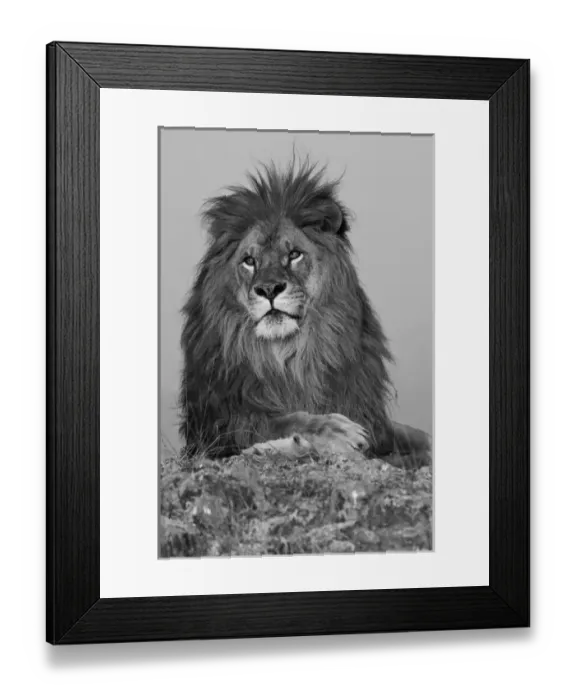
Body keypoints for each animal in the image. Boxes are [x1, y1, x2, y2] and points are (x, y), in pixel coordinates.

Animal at [178, 159, 431, 468]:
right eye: (249, 261)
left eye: (294, 254)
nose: (269, 289)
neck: (290, 355)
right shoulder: (218, 425)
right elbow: (281, 421)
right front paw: (332, 432)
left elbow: (420, 438)